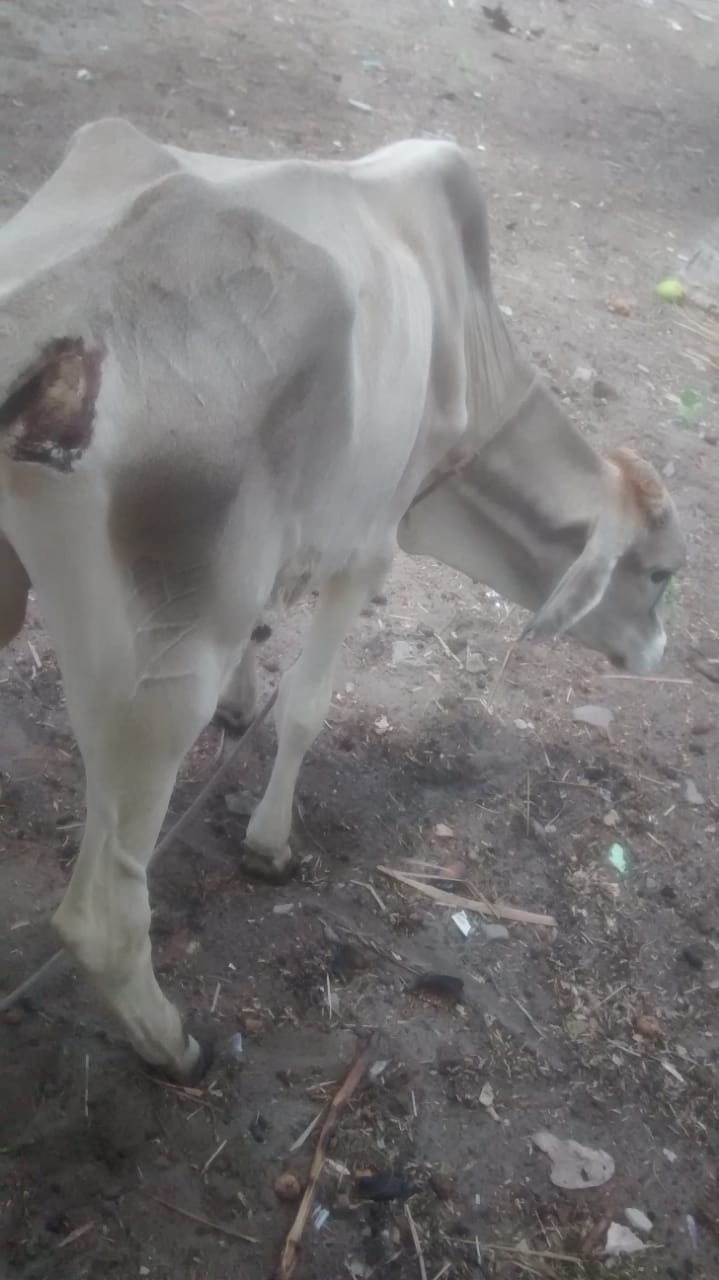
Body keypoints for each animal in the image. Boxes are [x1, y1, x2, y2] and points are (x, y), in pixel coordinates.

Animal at [0, 122, 680, 1080]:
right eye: (660, 573)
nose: (657, 650)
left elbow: (265, 644)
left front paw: (243, 705)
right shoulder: (368, 545)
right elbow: (308, 707)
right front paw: (269, 843)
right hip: (153, 678)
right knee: (100, 917)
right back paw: (173, 1044)